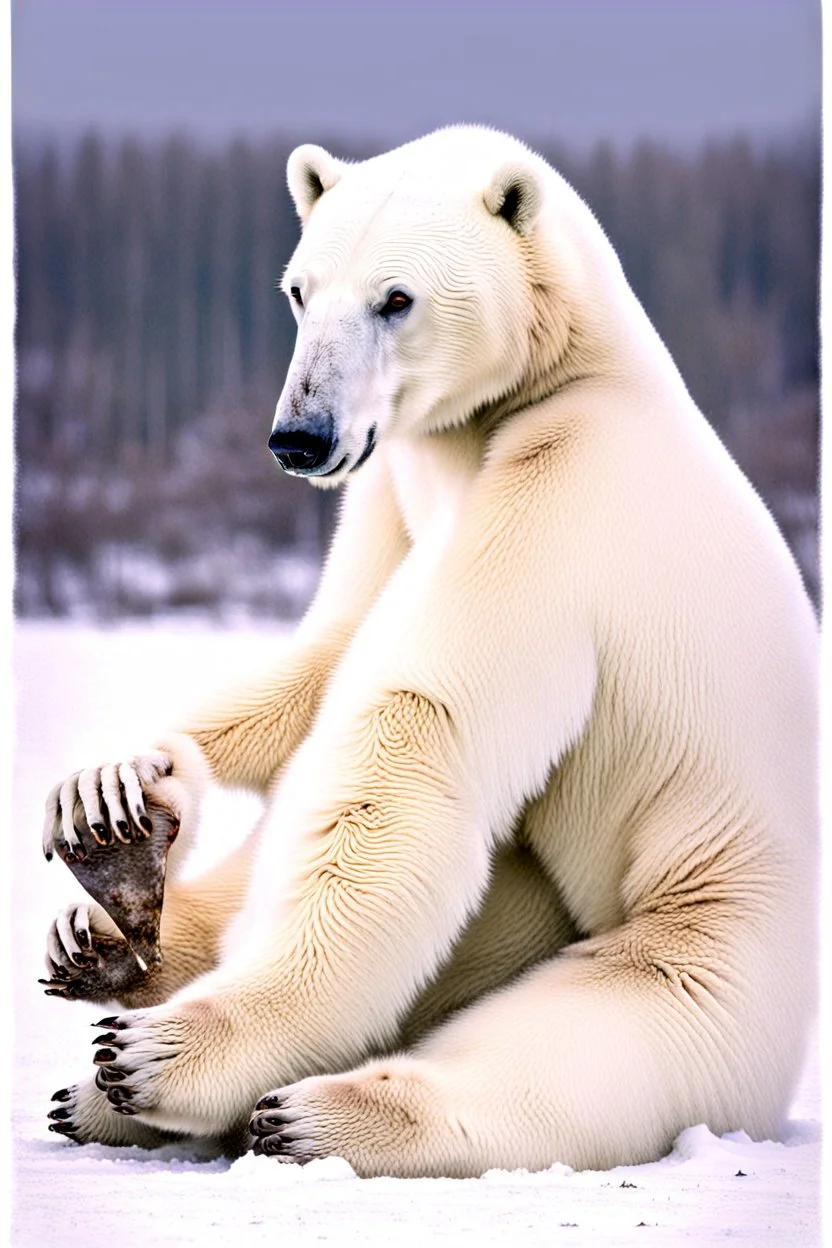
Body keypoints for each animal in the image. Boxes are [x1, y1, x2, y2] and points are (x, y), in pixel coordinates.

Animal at [42, 126, 818, 1178]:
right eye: (299, 289)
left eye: (396, 298)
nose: (300, 435)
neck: (582, 371)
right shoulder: (395, 484)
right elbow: (328, 655)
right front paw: (114, 793)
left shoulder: (558, 488)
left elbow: (413, 731)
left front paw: (174, 1050)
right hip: (544, 894)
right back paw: (108, 936)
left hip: (714, 945)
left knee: (582, 1043)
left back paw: (294, 1107)